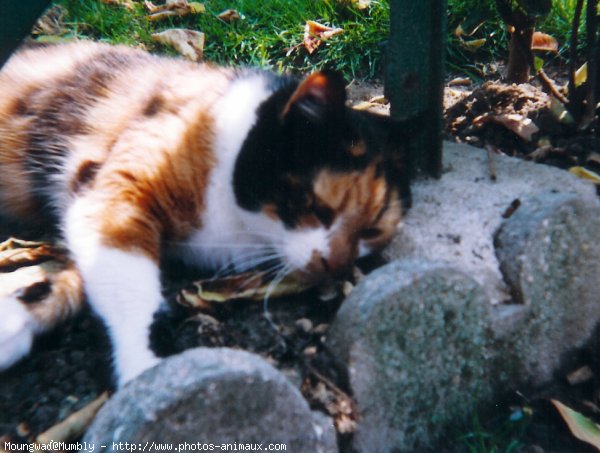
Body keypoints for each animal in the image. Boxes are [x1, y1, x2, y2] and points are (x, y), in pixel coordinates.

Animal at [0, 41, 412, 384]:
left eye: (371, 231)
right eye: (314, 205)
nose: (337, 265)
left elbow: (84, 272)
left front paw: (16, 318)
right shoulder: (114, 189)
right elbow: (126, 280)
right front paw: (146, 367)